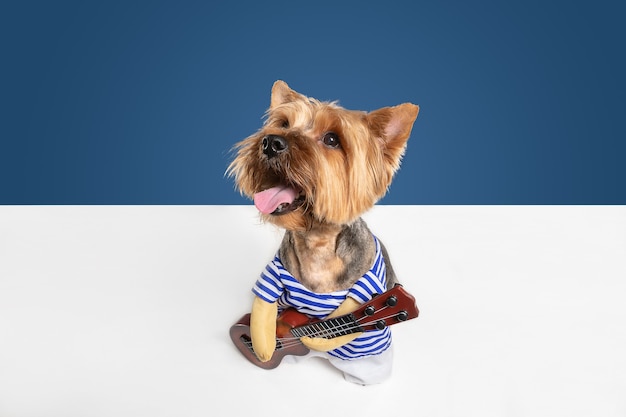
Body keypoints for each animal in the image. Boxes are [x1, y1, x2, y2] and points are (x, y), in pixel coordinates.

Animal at [227, 81, 416, 384]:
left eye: (332, 140)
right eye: (283, 124)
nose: (270, 142)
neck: (317, 242)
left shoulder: (369, 288)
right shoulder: (274, 273)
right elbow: (263, 303)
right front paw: (263, 346)